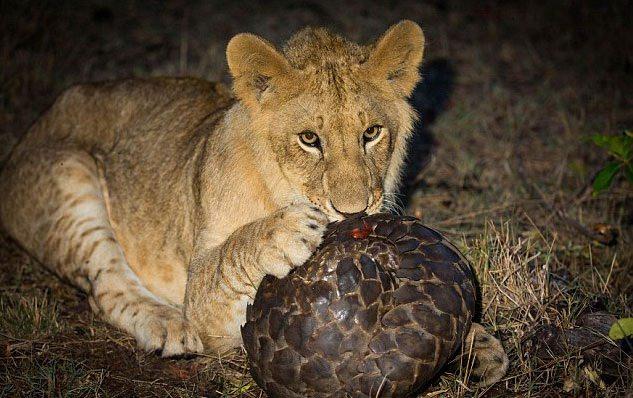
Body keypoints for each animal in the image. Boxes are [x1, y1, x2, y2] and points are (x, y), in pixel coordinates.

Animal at [0, 21, 506, 386]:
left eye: (371, 133)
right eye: (309, 139)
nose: (354, 212)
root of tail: (35, 125)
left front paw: (480, 348)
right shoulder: (206, 301)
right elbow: (229, 254)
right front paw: (284, 231)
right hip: (69, 177)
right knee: (105, 287)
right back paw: (168, 325)